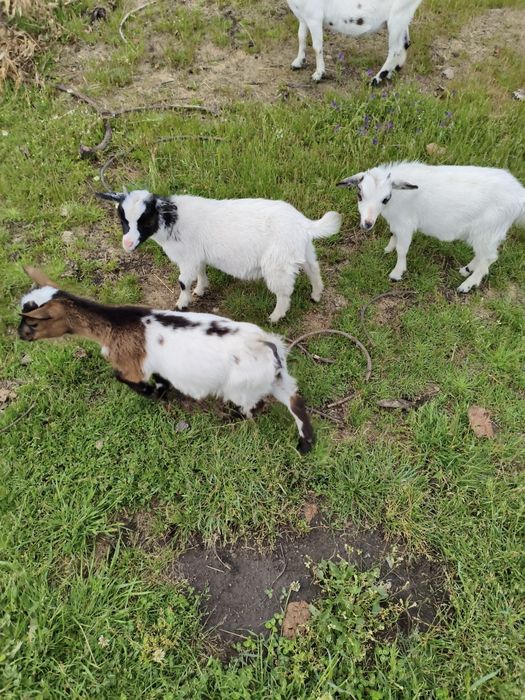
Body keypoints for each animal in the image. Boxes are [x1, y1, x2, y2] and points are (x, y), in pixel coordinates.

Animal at [18, 267, 315, 453]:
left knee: (255, 406)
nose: (20, 335)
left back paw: (235, 418)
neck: (115, 324)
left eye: (32, 322)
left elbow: (123, 377)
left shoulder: (131, 365)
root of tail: (266, 344)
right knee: (295, 401)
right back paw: (304, 445)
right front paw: (161, 392)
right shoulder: (156, 365)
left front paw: (151, 393)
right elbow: (161, 379)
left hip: (242, 386)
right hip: (277, 378)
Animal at [96, 190, 342, 323]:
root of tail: (304, 224)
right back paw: (316, 295)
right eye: (123, 220)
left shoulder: (188, 258)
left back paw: (275, 316)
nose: (127, 244)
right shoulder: (197, 256)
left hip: (277, 263)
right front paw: (201, 290)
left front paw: (182, 304)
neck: (173, 219)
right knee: (314, 270)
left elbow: (182, 282)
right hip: (302, 251)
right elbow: (201, 272)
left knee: (284, 292)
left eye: (145, 219)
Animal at [286, 0, 423, 84]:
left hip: (397, 16)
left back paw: (376, 79)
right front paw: (298, 62)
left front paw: (318, 74)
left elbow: (316, 47)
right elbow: (301, 37)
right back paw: (392, 72)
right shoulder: (303, 17)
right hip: (403, 17)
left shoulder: (314, 17)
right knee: (405, 43)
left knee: (395, 50)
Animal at [337, 162, 525, 292]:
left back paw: (467, 285)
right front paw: (387, 249)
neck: (398, 197)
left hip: (489, 230)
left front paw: (397, 273)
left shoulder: (405, 224)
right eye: (360, 195)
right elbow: (393, 235)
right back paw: (466, 270)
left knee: (489, 258)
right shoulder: (397, 223)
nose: (367, 224)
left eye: (385, 198)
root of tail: (519, 195)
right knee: (482, 255)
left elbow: (402, 249)